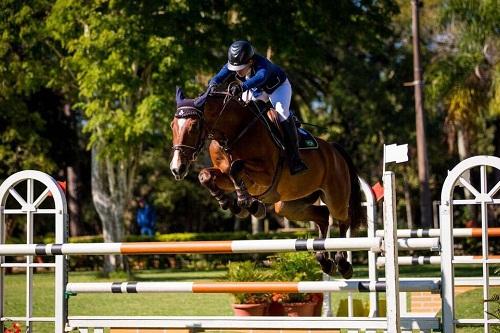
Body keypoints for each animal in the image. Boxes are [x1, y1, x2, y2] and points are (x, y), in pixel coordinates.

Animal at [169, 86, 364, 278]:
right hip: (289, 205)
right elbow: (206, 176)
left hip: (335, 195)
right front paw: (233, 205)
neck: (234, 132)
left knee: (342, 219)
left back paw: (342, 263)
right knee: (323, 216)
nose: (177, 168)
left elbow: (235, 168)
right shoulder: (227, 176)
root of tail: (333, 149)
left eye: (194, 126)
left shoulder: (266, 174)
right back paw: (324, 261)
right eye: (172, 126)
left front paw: (248, 204)